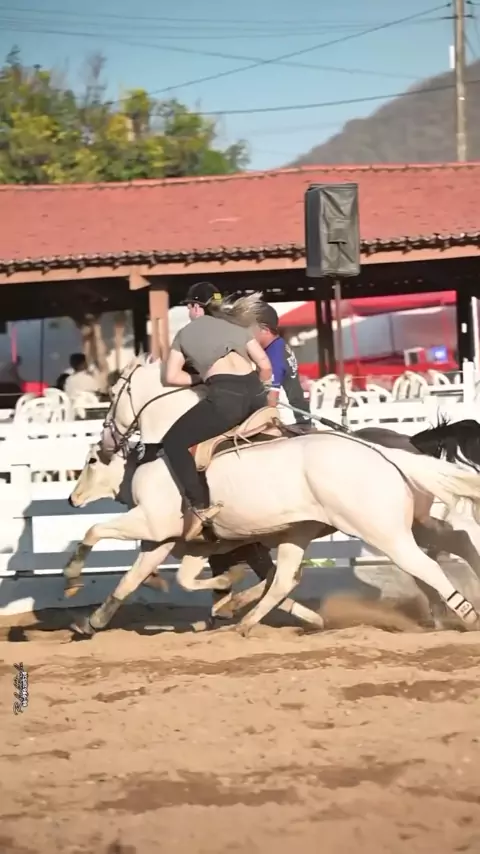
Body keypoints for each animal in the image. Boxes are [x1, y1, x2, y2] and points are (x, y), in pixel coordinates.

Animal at [62, 357, 480, 636]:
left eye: (115, 393)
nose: (71, 500)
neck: (161, 449)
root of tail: (390, 449)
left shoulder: (153, 525)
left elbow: (94, 532)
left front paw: (71, 578)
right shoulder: (166, 538)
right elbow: (132, 581)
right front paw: (92, 622)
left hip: (385, 533)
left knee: (427, 567)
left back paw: (464, 616)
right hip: (369, 528)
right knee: (452, 542)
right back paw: (246, 623)